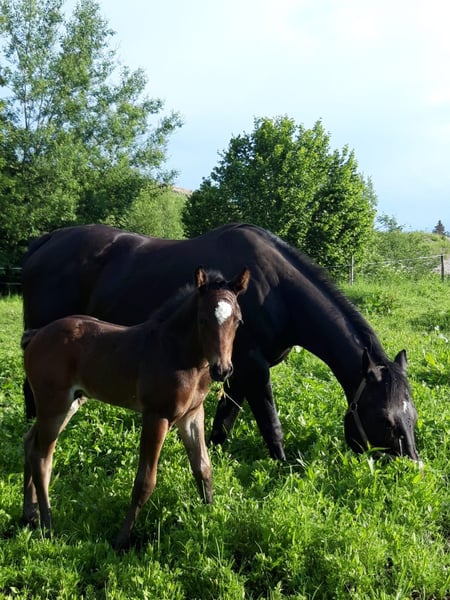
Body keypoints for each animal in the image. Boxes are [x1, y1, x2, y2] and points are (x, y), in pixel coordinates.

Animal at [21, 222, 419, 462]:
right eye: (384, 419)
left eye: (412, 416)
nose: (411, 468)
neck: (273, 290)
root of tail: (46, 241)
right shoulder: (254, 369)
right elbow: (270, 423)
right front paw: (286, 468)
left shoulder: (239, 369)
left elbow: (225, 419)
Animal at [21, 266, 250, 550]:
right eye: (203, 319)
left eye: (238, 321)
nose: (223, 370)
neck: (177, 352)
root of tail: (36, 335)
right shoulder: (156, 416)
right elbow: (145, 481)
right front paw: (121, 539)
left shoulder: (192, 415)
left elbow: (203, 468)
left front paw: (209, 517)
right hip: (54, 405)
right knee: (42, 457)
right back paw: (48, 524)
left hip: (67, 404)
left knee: (30, 443)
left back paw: (29, 514)